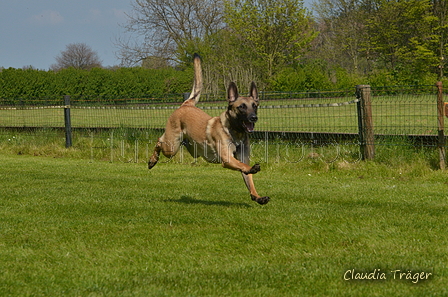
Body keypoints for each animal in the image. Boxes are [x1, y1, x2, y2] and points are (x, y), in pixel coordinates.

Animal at [149, 53, 272, 204]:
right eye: (242, 107)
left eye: (254, 106)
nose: (254, 117)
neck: (235, 132)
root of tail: (186, 104)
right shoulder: (227, 159)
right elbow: (244, 167)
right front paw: (253, 169)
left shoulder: (243, 158)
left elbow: (248, 178)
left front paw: (257, 196)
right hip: (171, 147)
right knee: (159, 141)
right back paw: (152, 160)